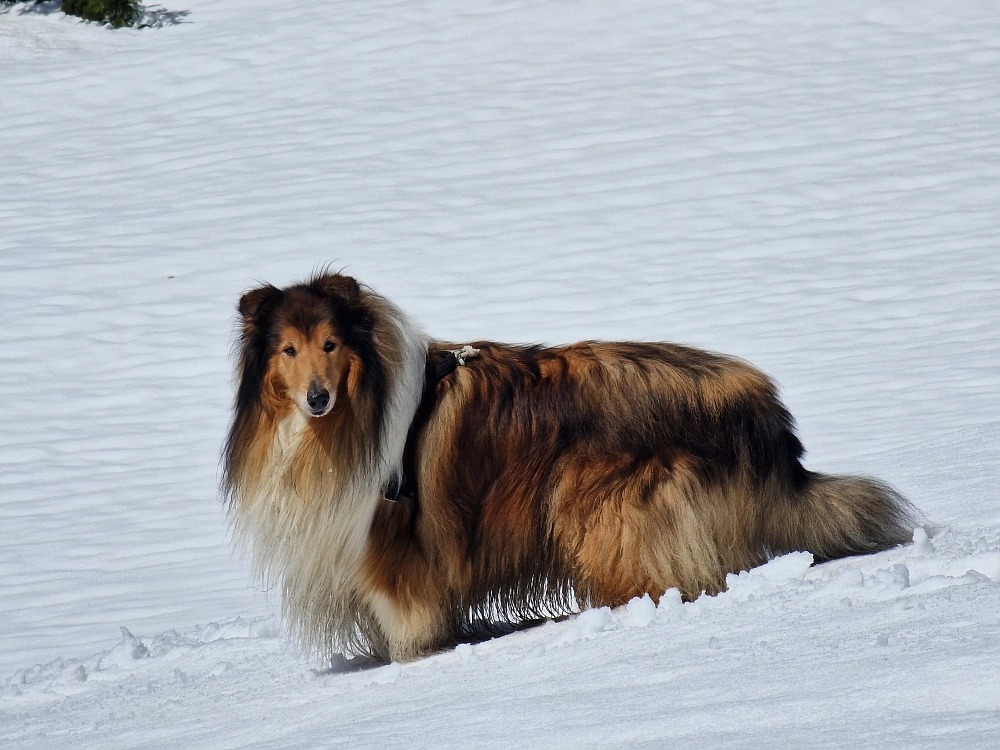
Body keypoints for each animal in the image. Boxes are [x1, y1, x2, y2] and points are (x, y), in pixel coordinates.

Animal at [223, 274, 916, 660]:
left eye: (331, 344)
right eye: (287, 350)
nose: (317, 398)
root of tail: (761, 407)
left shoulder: (396, 551)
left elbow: (410, 626)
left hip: (597, 509)